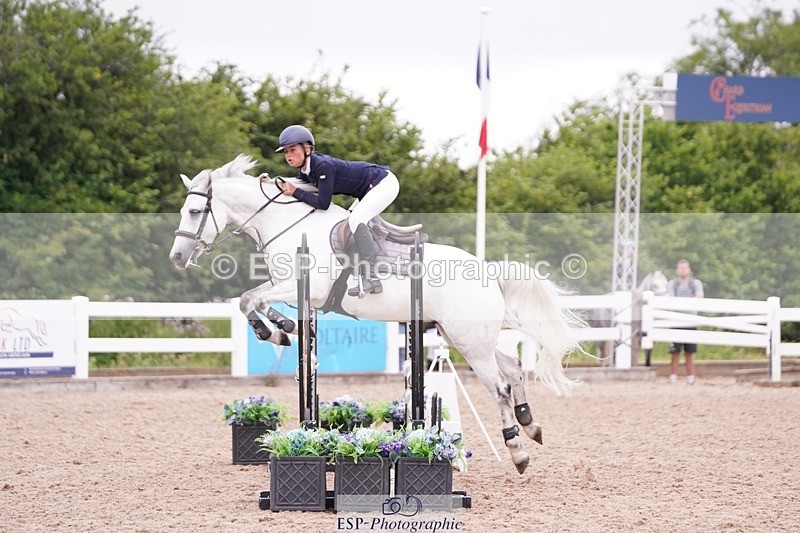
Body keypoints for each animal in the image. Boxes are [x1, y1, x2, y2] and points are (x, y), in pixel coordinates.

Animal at [169, 155, 585, 474]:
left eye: (195, 211)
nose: (177, 257)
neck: (283, 225)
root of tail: (488, 272)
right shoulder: (291, 289)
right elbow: (253, 300)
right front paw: (283, 329)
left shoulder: (307, 288)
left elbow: (247, 299)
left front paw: (271, 331)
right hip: (465, 337)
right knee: (513, 370)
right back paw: (531, 425)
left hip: (470, 342)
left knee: (499, 387)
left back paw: (518, 450)